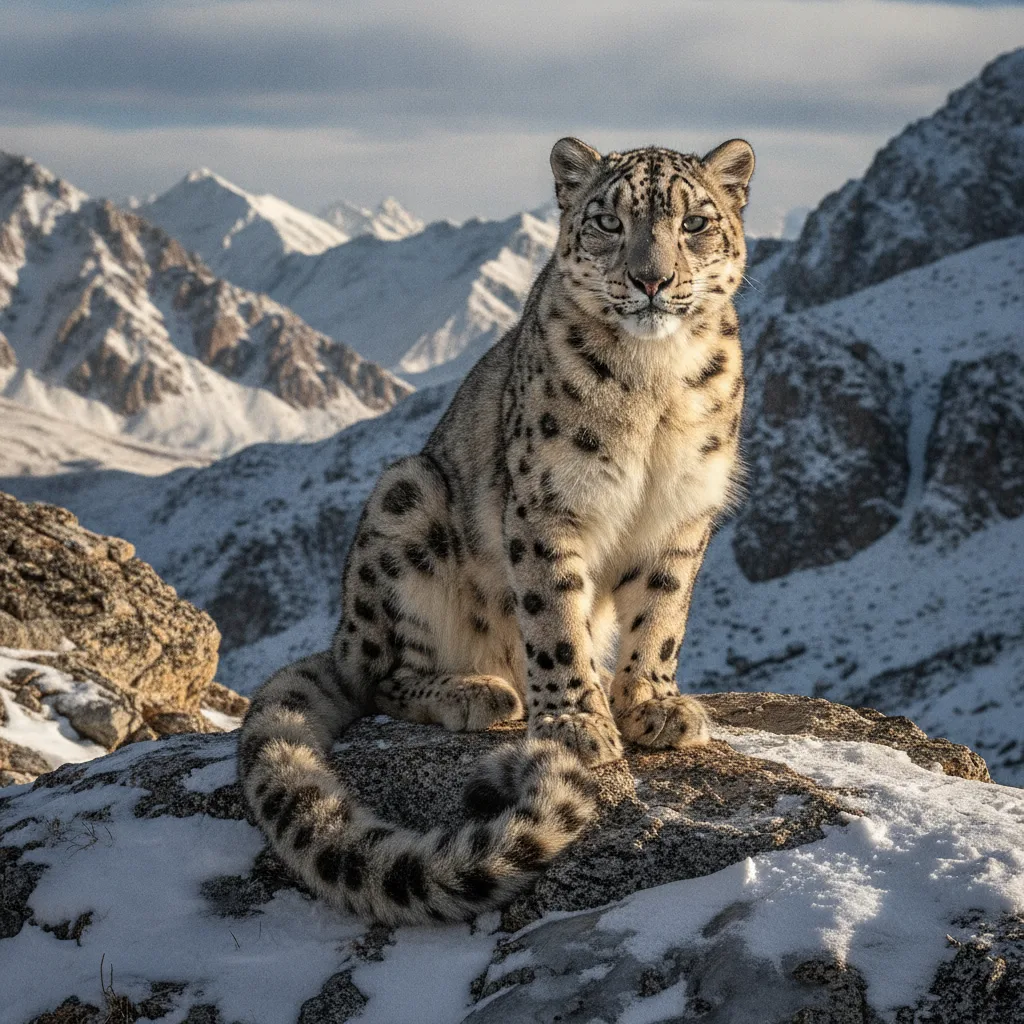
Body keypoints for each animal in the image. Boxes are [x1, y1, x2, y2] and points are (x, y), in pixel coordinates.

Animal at [238, 136, 755, 926]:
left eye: (695, 222)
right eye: (608, 221)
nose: (652, 279)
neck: (656, 380)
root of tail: (340, 632)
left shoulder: (682, 514)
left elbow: (662, 614)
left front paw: (651, 705)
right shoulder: (549, 505)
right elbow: (554, 620)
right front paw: (577, 724)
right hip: (405, 502)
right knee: (379, 675)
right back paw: (476, 692)